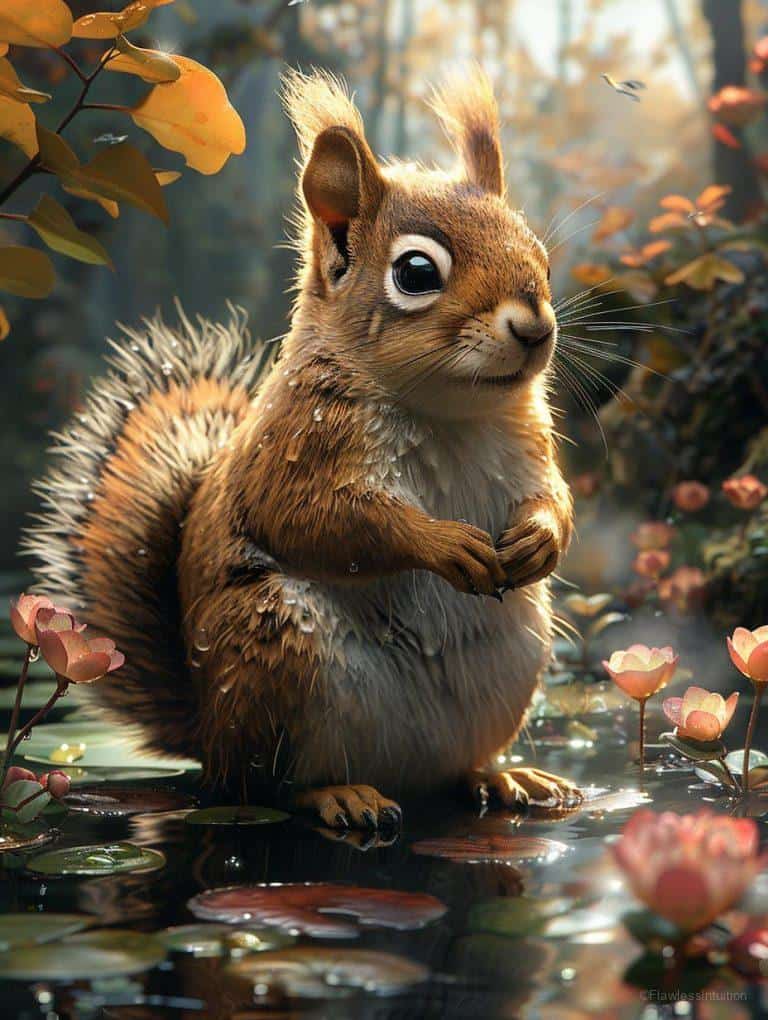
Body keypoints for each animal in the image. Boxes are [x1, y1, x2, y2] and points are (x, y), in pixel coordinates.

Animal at [26, 69, 579, 829]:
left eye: (543, 260)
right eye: (415, 272)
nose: (535, 328)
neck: (448, 412)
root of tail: (208, 732)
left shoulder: (528, 441)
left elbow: (554, 497)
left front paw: (538, 540)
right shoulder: (296, 446)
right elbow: (324, 522)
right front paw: (445, 544)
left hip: (511, 666)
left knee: (453, 771)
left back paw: (504, 776)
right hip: (273, 655)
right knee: (269, 786)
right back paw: (340, 795)